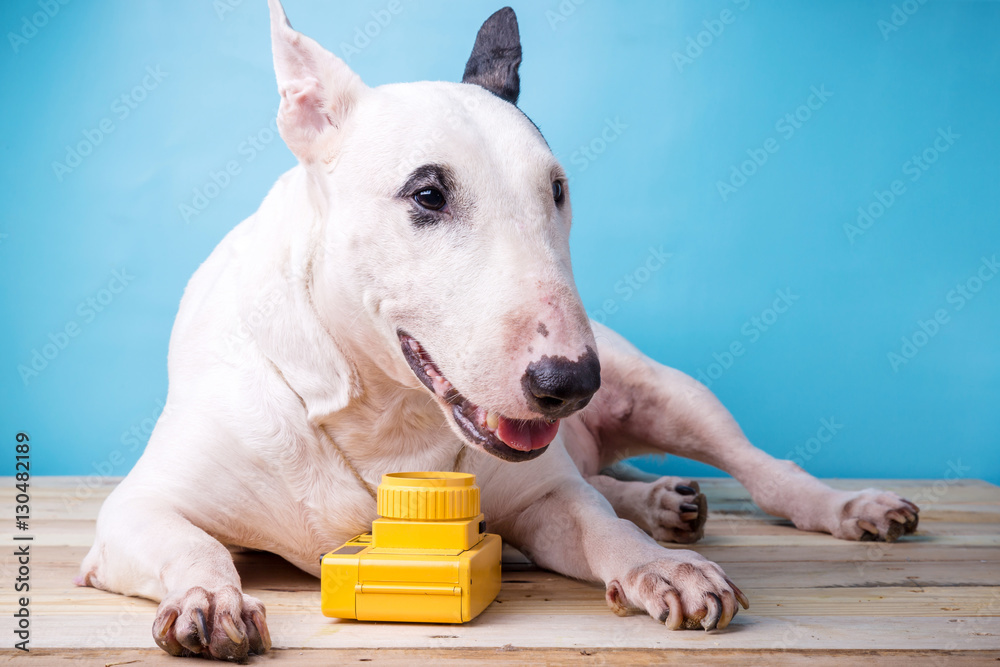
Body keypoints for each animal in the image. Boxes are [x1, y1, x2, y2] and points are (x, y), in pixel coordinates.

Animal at [80, 2, 920, 664]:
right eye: (427, 194)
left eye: (558, 189)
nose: (571, 383)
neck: (379, 411)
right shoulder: (136, 510)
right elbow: (193, 540)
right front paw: (209, 597)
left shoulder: (545, 499)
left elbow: (598, 524)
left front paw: (663, 566)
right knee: (612, 480)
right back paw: (660, 500)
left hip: (668, 391)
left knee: (755, 469)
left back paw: (836, 507)